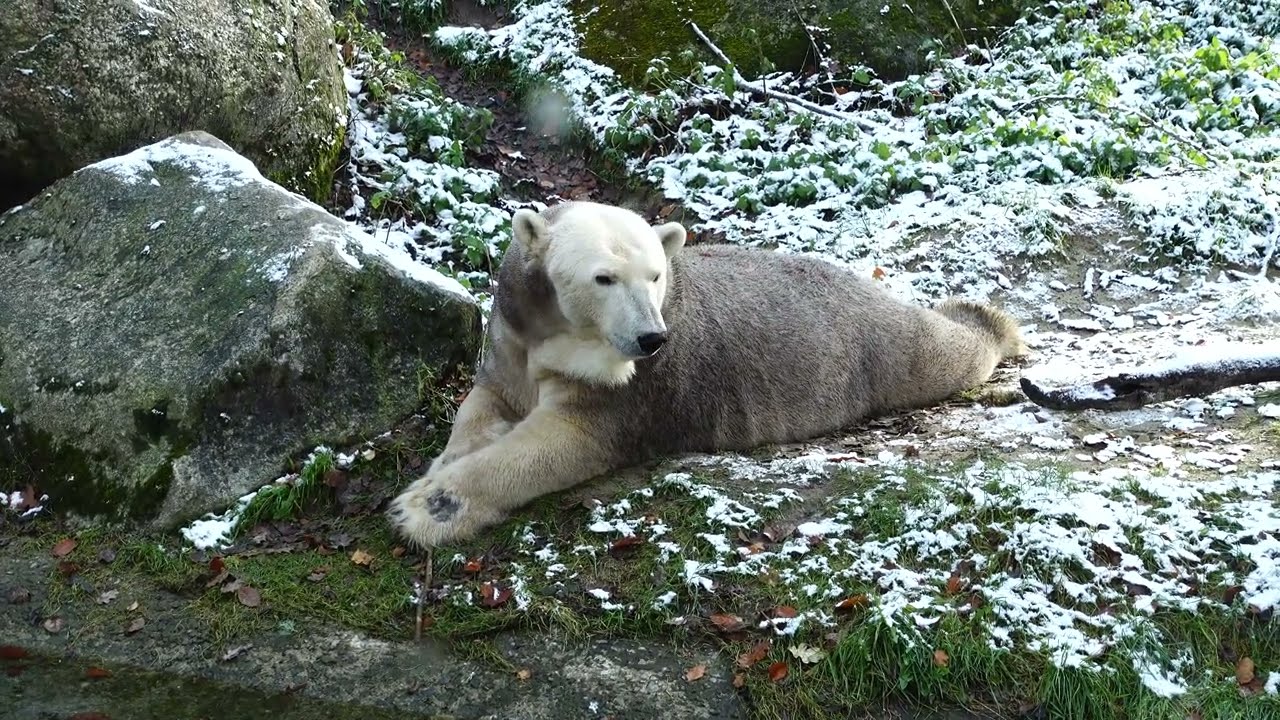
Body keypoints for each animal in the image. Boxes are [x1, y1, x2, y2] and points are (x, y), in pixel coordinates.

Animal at [388, 200, 1026, 547]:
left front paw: (429, 506)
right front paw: (450, 455)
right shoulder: (512, 329)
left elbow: (562, 439)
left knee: (939, 349)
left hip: (882, 349)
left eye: (655, 275)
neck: (560, 331)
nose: (652, 338)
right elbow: (487, 396)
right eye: (603, 278)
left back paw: (988, 322)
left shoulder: (631, 386)